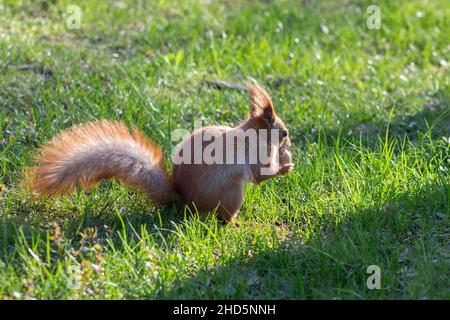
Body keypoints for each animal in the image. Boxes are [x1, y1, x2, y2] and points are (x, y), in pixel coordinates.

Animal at [29, 84, 296, 222]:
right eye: (283, 133)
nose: (290, 145)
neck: (256, 133)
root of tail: (185, 203)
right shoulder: (257, 154)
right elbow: (261, 176)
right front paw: (285, 166)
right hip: (231, 194)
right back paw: (234, 223)